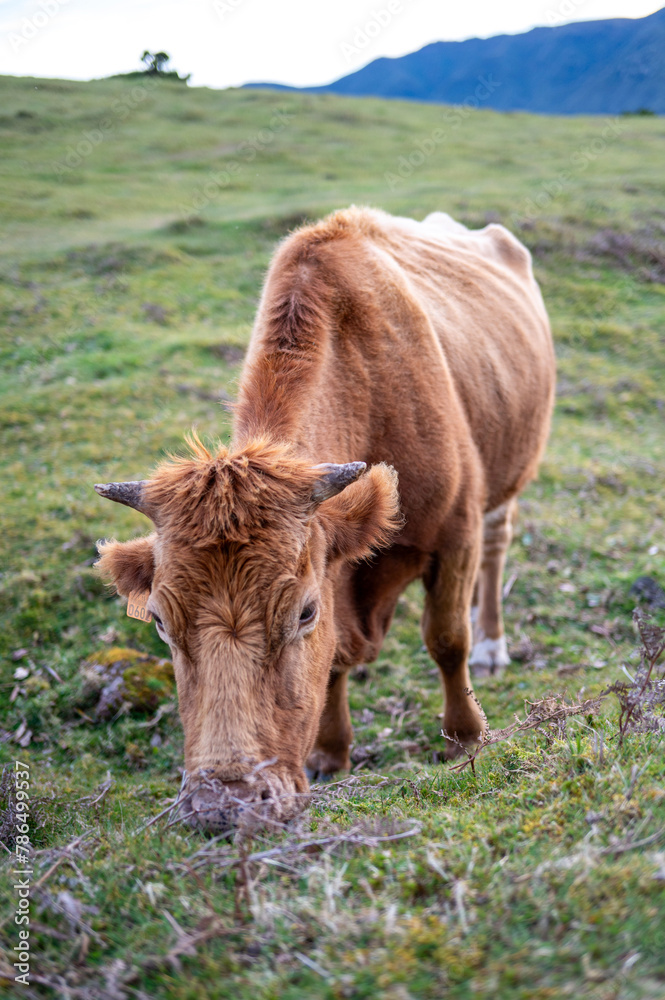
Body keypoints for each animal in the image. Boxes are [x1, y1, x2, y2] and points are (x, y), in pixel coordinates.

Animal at [95, 207, 555, 832]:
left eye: (303, 612)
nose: (227, 802)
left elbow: (445, 638)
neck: (367, 383)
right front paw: (330, 752)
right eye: (162, 623)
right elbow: (335, 660)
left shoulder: (454, 533)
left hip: (508, 481)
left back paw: (492, 647)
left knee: (496, 548)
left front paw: (465, 736)